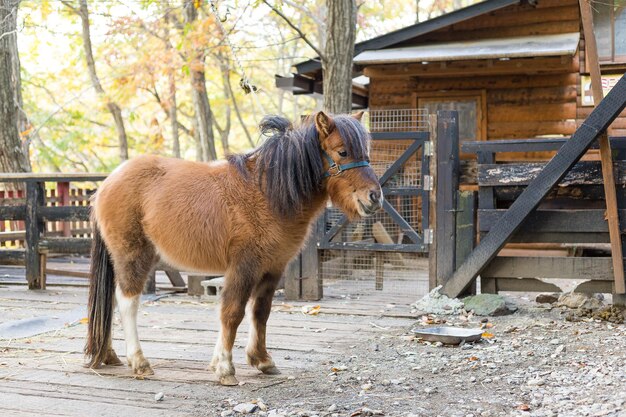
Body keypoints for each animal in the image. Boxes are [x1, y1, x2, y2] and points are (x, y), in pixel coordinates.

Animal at [84, 110, 380, 384]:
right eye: (342, 151)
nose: (375, 196)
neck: (267, 193)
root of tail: (106, 184)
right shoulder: (243, 267)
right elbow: (232, 313)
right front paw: (226, 368)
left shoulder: (272, 268)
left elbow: (260, 313)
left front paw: (260, 360)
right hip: (134, 256)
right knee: (127, 302)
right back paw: (139, 362)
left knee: (111, 300)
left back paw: (110, 355)